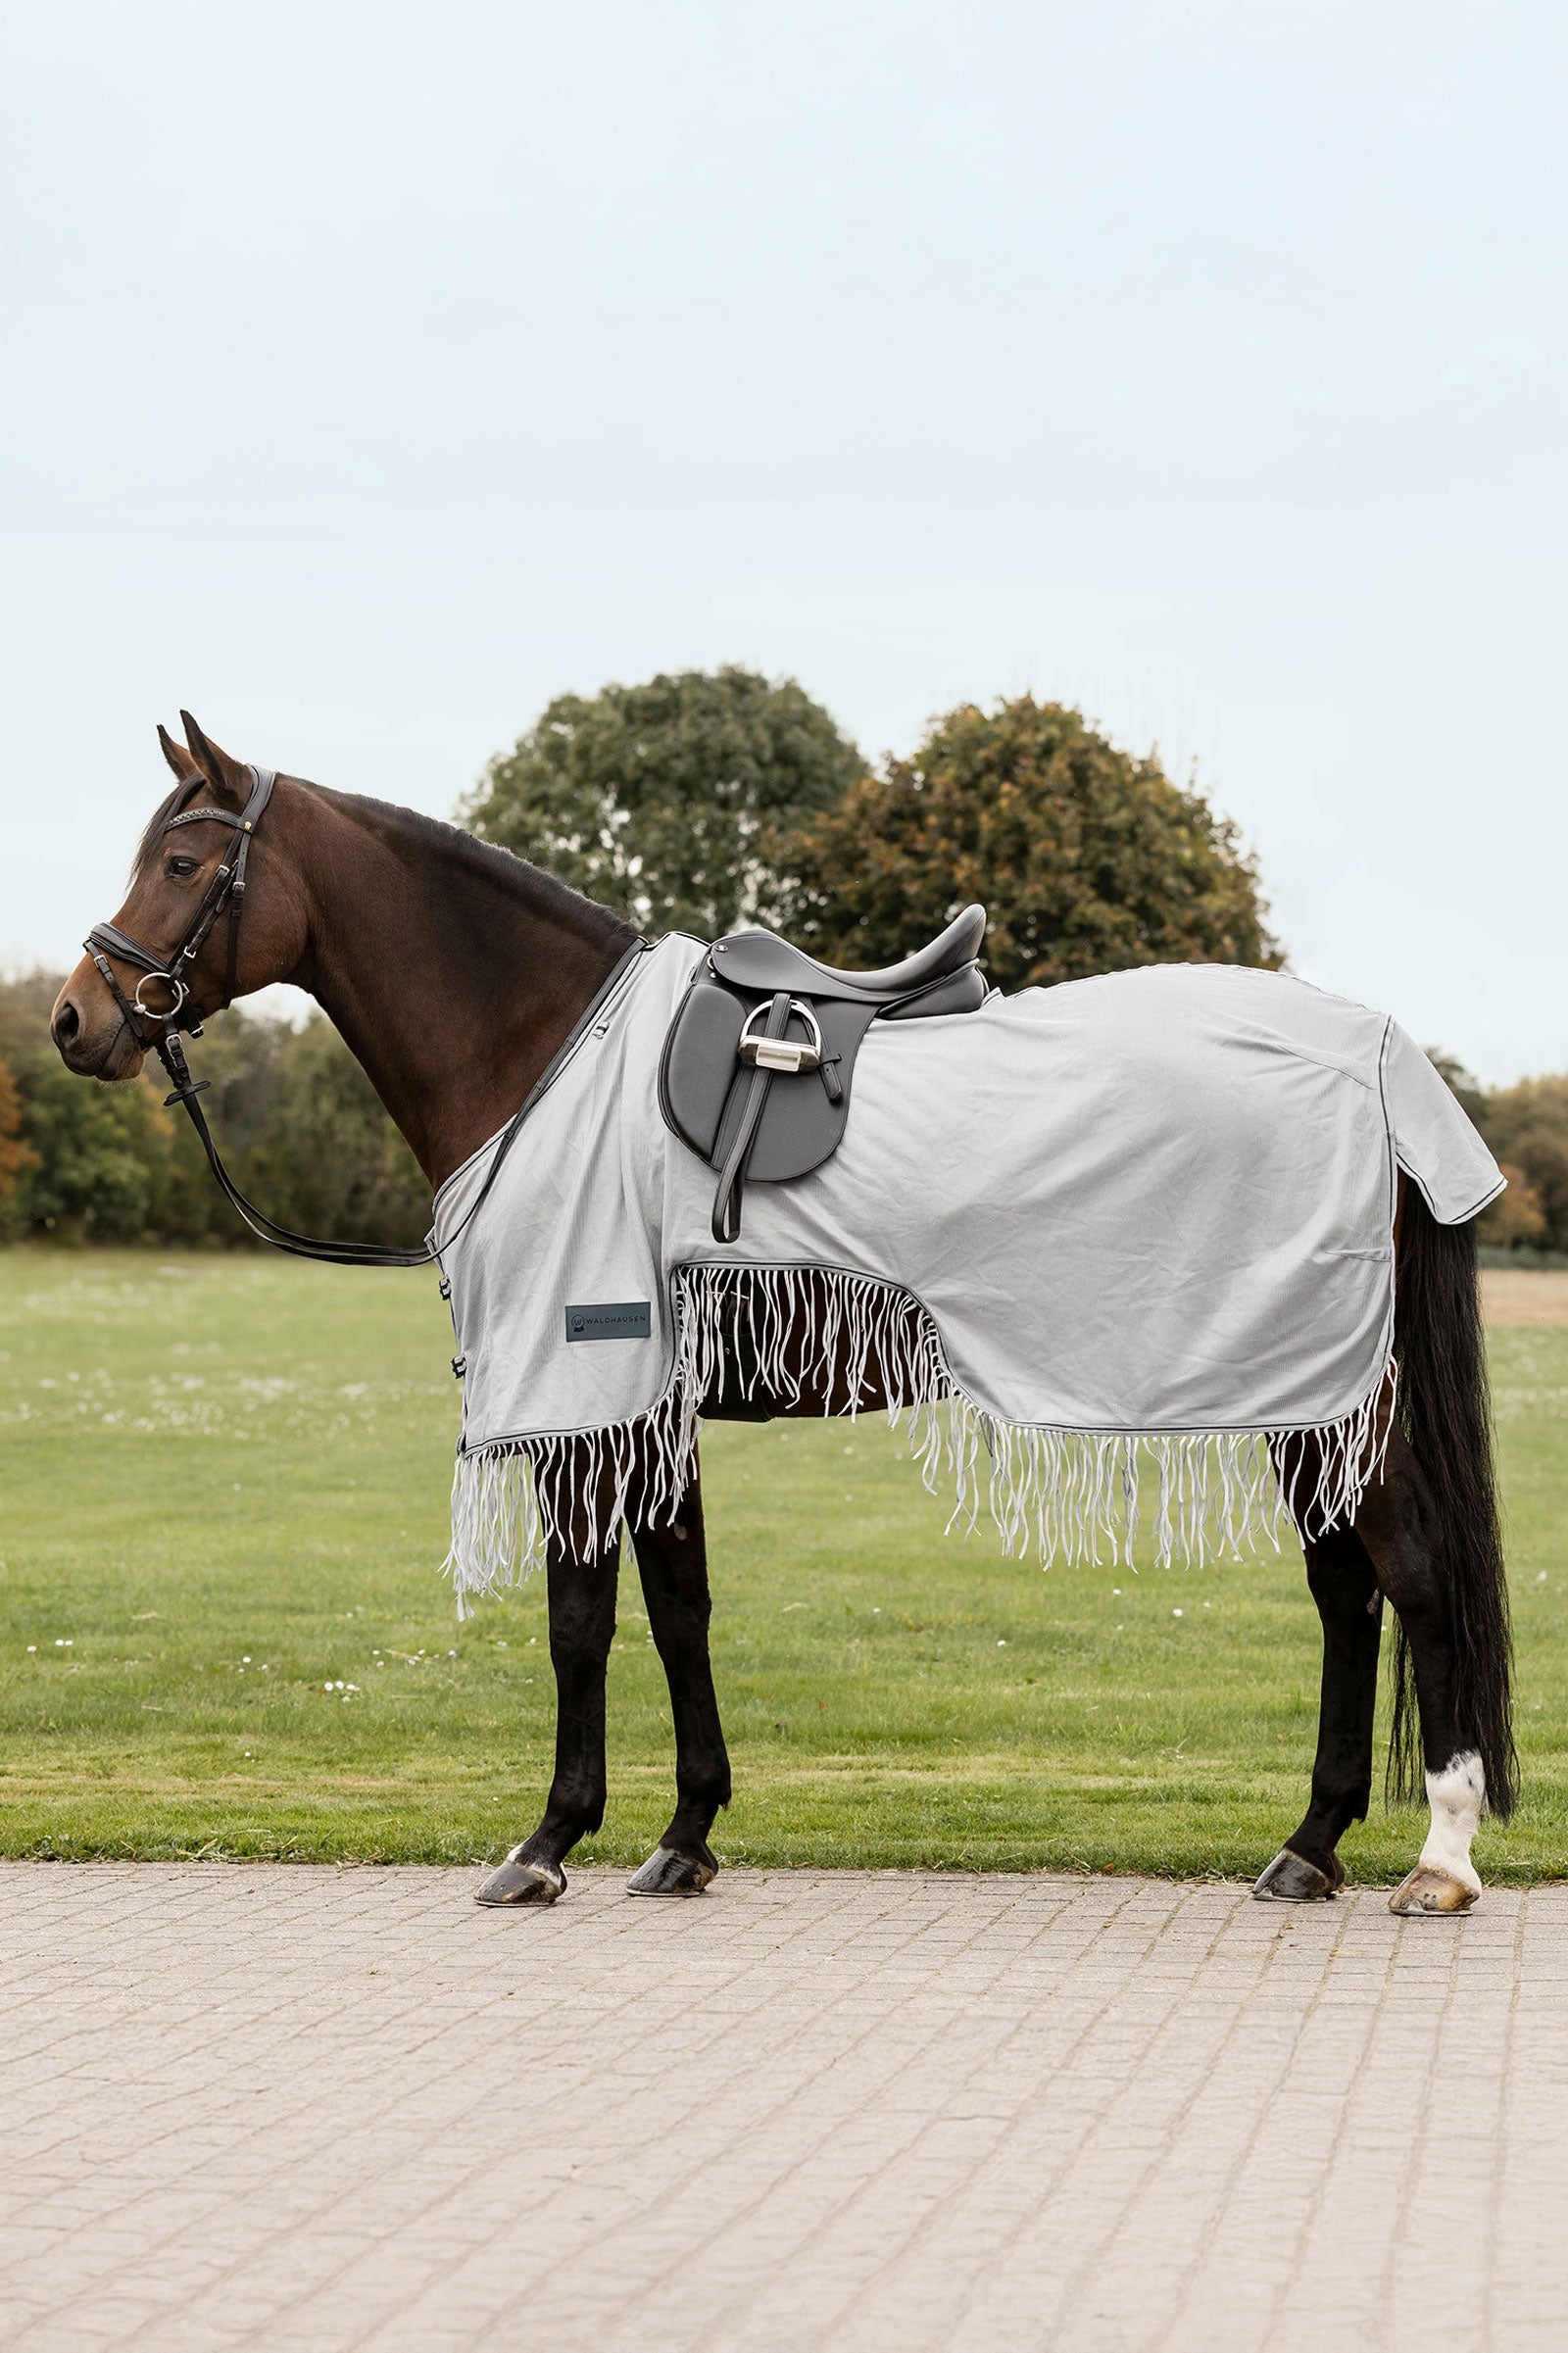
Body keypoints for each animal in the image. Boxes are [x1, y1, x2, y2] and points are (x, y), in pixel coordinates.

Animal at [49, 715, 1516, 1915]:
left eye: (181, 862)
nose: (74, 1019)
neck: (546, 1051)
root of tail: (1383, 1056)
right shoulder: (653, 1403)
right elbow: (679, 1603)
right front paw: (683, 1835)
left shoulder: (587, 1392)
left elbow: (580, 1616)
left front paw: (546, 1843)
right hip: (1306, 1391)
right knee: (1347, 1592)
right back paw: (1311, 1845)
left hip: (1335, 1386)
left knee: (1409, 1576)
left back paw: (1436, 1859)